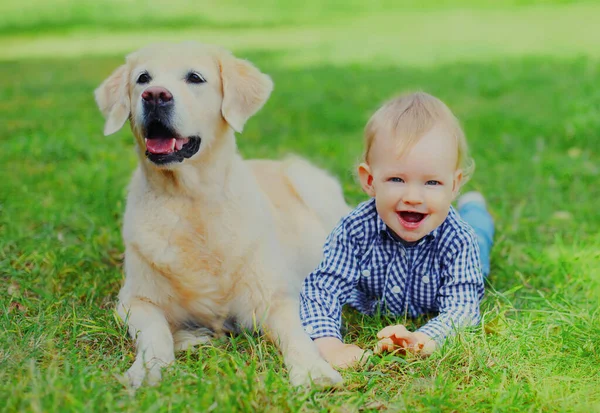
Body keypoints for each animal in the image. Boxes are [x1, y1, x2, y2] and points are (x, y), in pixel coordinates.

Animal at [92, 41, 350, 386]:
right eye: (143, 78)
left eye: (195, 78)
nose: (155, 95)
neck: (191, 200)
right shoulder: (134, 300)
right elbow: (156, 331)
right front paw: (149, 368)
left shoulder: (274, 296)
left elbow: (297, 335)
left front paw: (312, 371)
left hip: (308, 181)